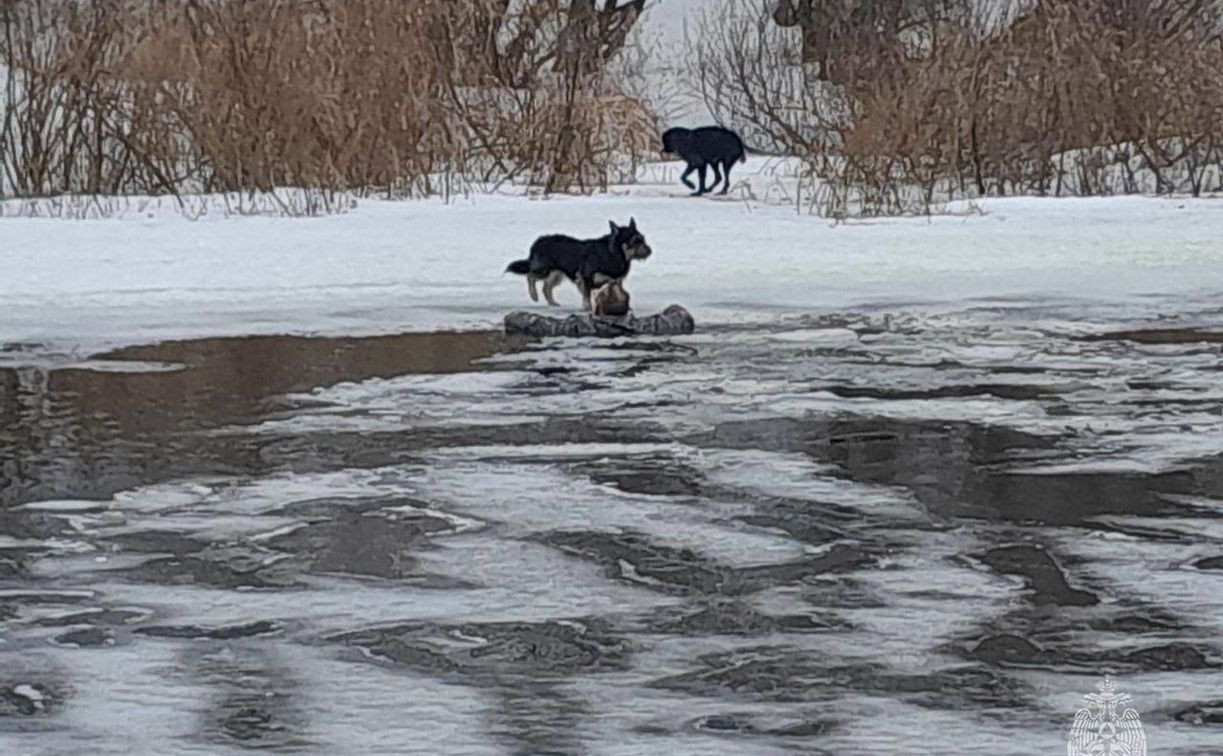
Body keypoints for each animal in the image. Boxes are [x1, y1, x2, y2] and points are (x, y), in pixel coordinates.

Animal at [501, 217, 650, 311]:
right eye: (635, 241)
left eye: (643, 239)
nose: (650, 251)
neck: (614, 253)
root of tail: (538, 242)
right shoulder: (585, 277)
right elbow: (587, 294)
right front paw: (588, 307)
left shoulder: (616, 280)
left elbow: (620, 290)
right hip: (544, 270)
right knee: (530, 276)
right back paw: (534, 296)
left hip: (557, 275)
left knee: (546, 287)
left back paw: (552, 303)